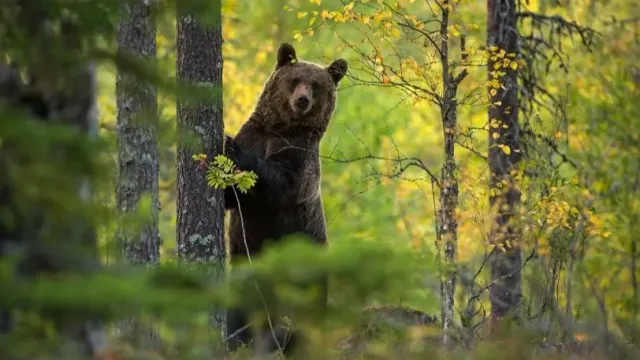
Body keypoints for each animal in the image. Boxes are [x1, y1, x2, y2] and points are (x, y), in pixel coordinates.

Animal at [222, 42, 348, 354]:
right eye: (295, 79)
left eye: (316, 85)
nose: (302, 100)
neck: (282, 128)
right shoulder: (256, 133)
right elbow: (233, 198)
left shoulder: (301, 156)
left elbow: (283, 182)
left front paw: (232, 147)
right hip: (245, 269)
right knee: (238, 311)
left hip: (304, 273)